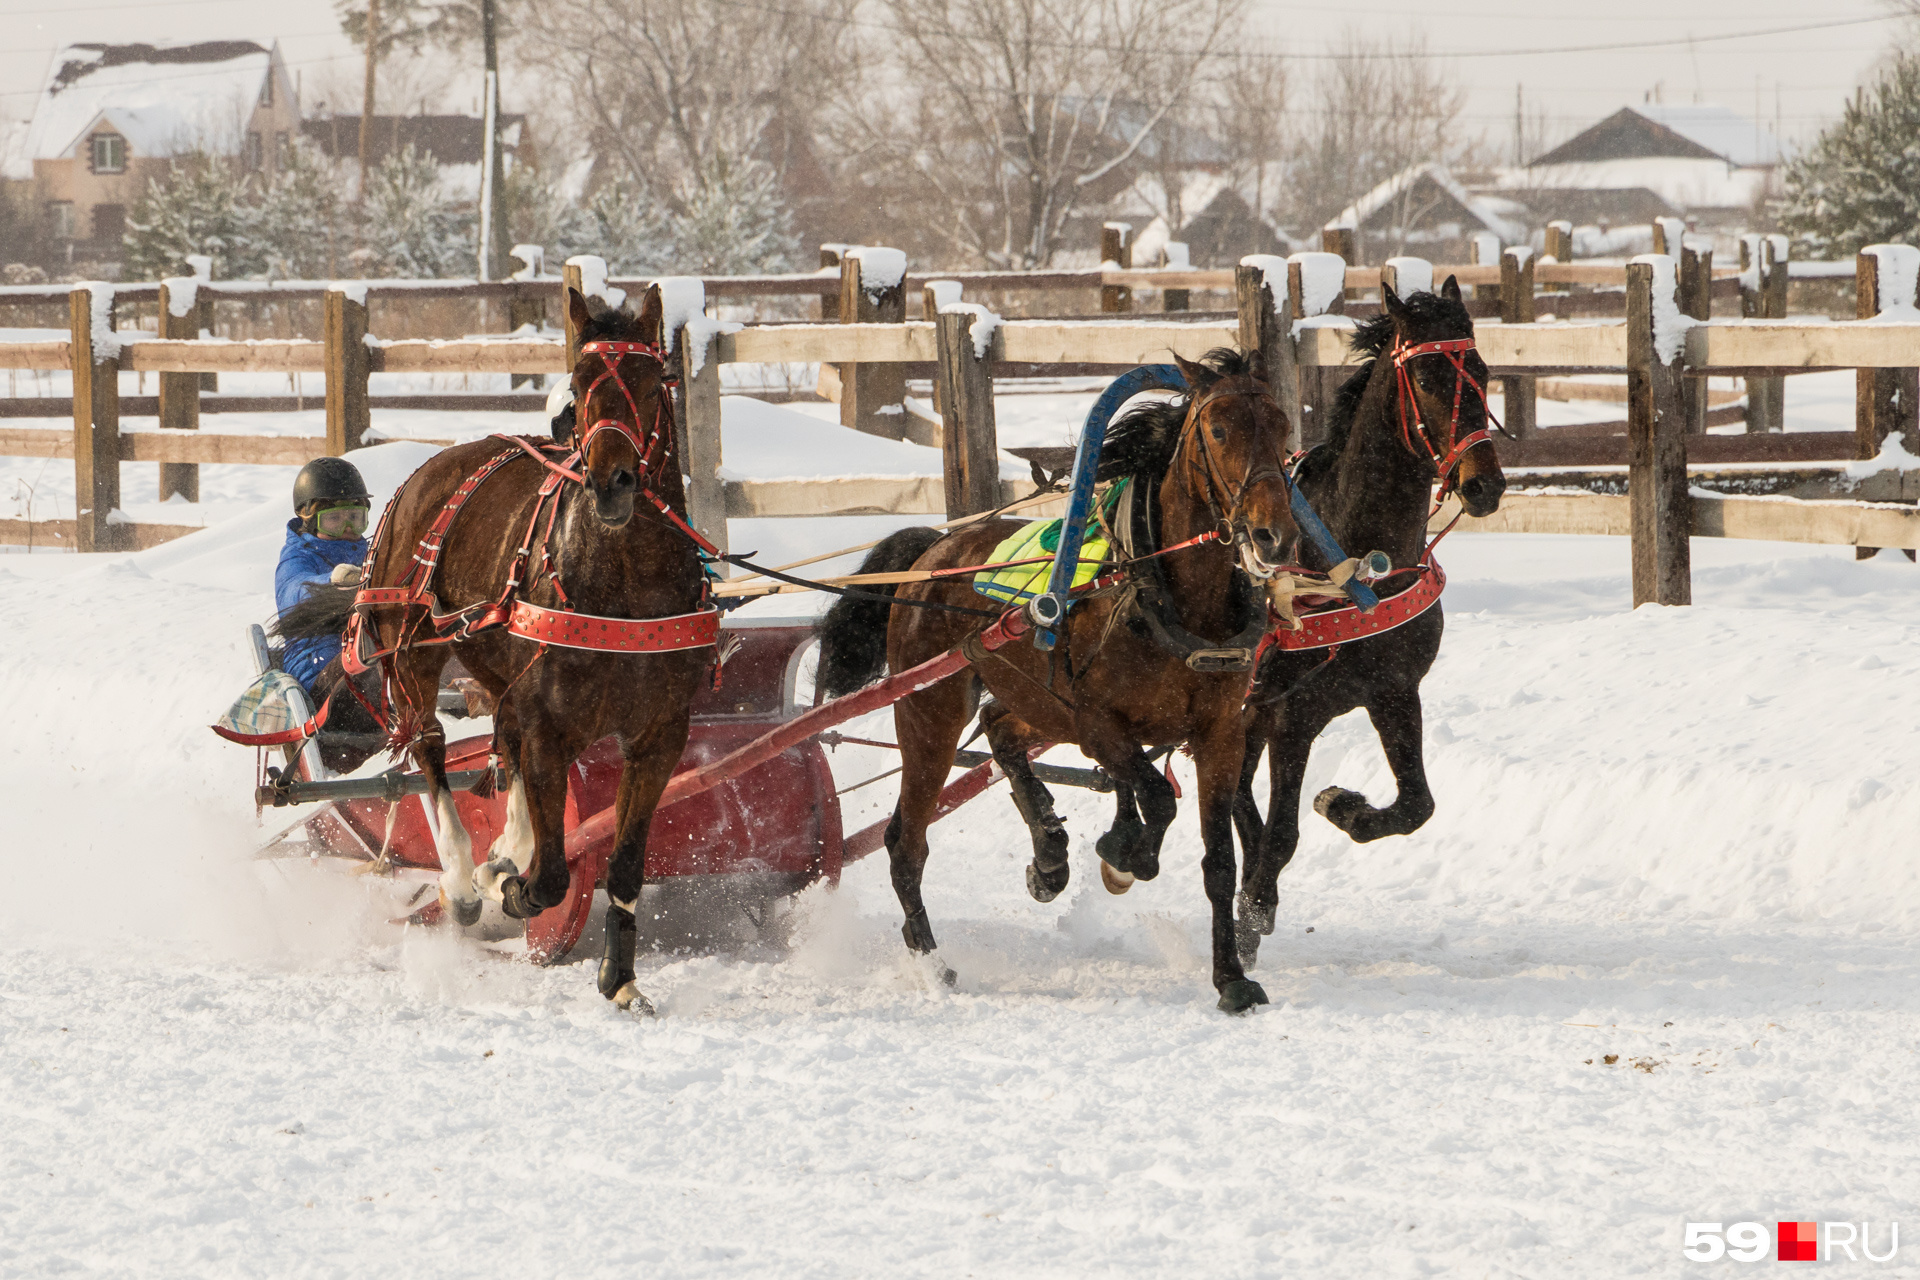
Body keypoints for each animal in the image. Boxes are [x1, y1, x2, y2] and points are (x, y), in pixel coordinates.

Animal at [291, 287, 721, 1013]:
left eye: (651, 379)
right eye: (579, 382)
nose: (610, 482)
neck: (626, 586)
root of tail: (433, 468)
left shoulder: (659, 734)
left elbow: (624, 864)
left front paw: (621, 976)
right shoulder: (555, 725)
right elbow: (550, 877)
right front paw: (507, 884)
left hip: (493, 659)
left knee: (502, 733)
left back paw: (500, 853)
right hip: (414, 652)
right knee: (433, 749)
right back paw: (465, 877)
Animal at [817, 347, 1297, 1013]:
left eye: (1283, 427)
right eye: (1220, 429)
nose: (1276, 536)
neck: (1159, 591)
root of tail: (936, 549)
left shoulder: (1220, 734)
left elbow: (1219, 863)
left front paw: (1231, 977)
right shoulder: (1096, 722)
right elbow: (1154, 797)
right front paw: (1125, 852)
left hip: (1029, 696)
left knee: (998, 727)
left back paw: (1047, 854)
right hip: (930, 711)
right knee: (905, 841)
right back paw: (933, 962)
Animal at [1236, 278, 1505, 959]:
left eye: (1483, 372)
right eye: (1429, 378)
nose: (1485, 485)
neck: (1355, 566)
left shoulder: (1394, 692)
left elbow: (1416, 806)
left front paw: (1343, 804)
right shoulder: (1291, 718)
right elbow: (1281, 835)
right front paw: (1250, 916)